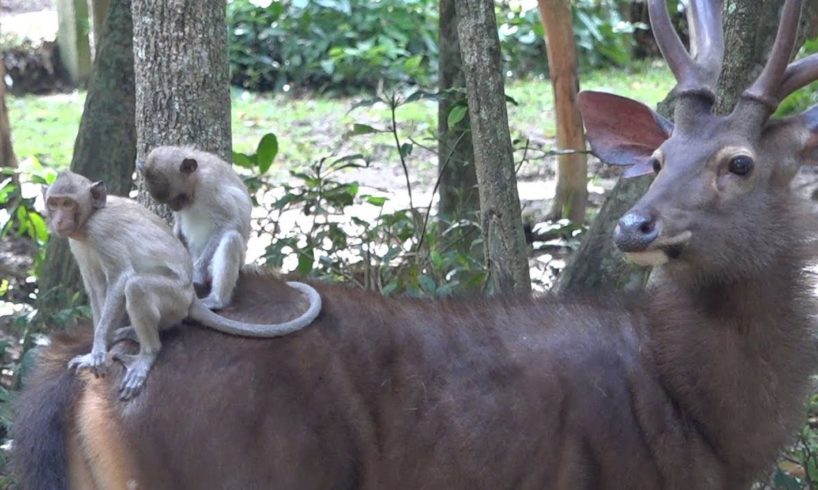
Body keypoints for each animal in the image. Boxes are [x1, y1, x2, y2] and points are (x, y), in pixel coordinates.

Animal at [45, 170, 322, 400]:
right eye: (53, 203)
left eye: (68, 203)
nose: (58, 220)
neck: (90, 216)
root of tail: (191, 296)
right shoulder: (78, 243)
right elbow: (95, 287)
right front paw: (98, 346)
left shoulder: (101, 232)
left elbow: (120, 278)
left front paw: (98, 350)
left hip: (174, 298)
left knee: (136, 287)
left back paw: (148, 353)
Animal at [138, 144, 252, 310]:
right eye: (167, 202)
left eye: (177, 197)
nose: (174, 206)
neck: (196, 184)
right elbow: (179, 226)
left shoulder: (209, 185)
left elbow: (230, 222)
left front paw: (197, 272)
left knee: (231, 239)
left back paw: (217, 300)